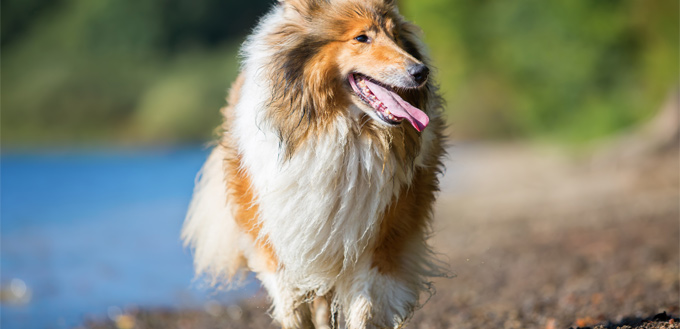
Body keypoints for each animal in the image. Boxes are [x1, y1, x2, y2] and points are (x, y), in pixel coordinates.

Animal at [181, 1, 446, 326]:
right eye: (361, 38)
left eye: (395, 36)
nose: (421, 71)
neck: (340, 132)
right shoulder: (282, 242)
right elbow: (293, 309)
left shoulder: (378, 241)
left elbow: (364, 308)